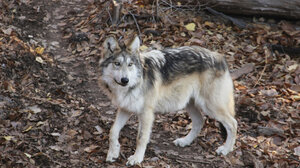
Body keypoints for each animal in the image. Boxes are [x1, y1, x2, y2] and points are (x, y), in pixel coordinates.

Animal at [98, 35, 237, 165]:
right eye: (117, 64)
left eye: (130, 65)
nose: (125, 80)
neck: (135, 82)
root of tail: (219, 56)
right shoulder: (125, 109)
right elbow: (113, 131)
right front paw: (113, 153)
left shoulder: (146, 113)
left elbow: (141, 137)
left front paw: (136, 158)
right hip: (189, 104)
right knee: (200, 121)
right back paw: (185, 141)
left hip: (210, 107)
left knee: (233, 123)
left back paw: (225, 149)